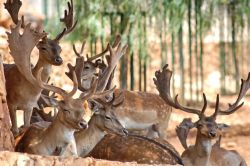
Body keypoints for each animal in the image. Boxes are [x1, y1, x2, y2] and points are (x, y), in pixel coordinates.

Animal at [3, 0, 76, 136]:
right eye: (43, 48)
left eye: (60, 48)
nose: (59, 60)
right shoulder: (10, 102)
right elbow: (14, 129)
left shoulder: (30, 107)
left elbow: (26, 126)